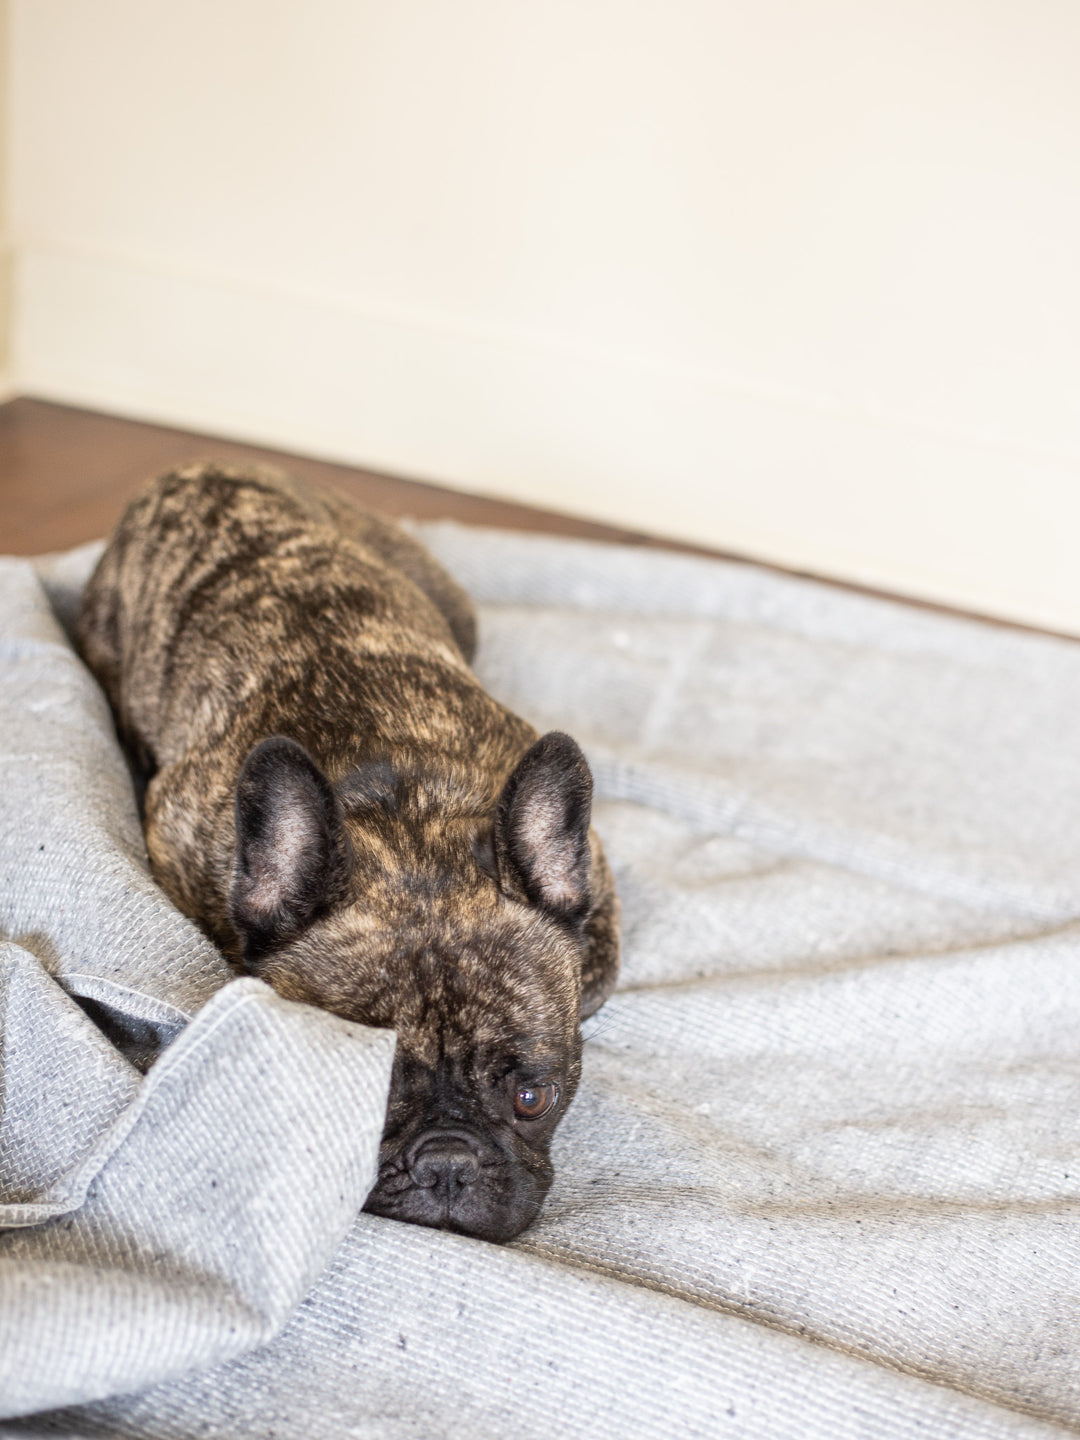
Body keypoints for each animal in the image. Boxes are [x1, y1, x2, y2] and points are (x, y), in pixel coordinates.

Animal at [76, 466, 622, 1244]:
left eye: (532, 1098)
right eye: (361, 1099)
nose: (448, 1163)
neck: (407, 813)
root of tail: (201, 472)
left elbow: (594, 980)